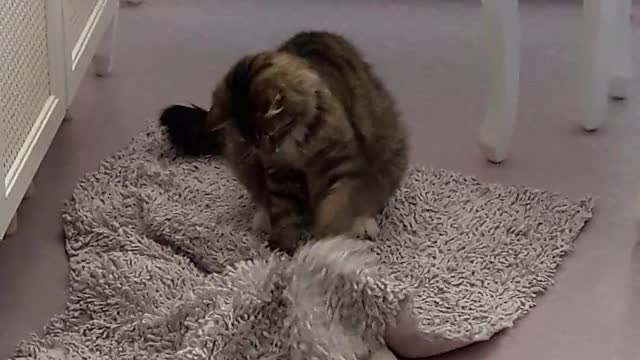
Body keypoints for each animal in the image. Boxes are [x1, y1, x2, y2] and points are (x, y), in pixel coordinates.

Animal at [161, 31, 410, 253]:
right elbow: (285, 211)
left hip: (392, 156)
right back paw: (264, 218)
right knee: (262, 197)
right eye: (251, 141)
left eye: (268, 135)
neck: (297, 144)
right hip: (241, 161)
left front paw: (325, 241)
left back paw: (363, 223)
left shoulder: (339, 164)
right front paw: (281, 247)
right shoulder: (280, 173)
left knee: (370, 198)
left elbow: (335, 204)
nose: (265, 151)